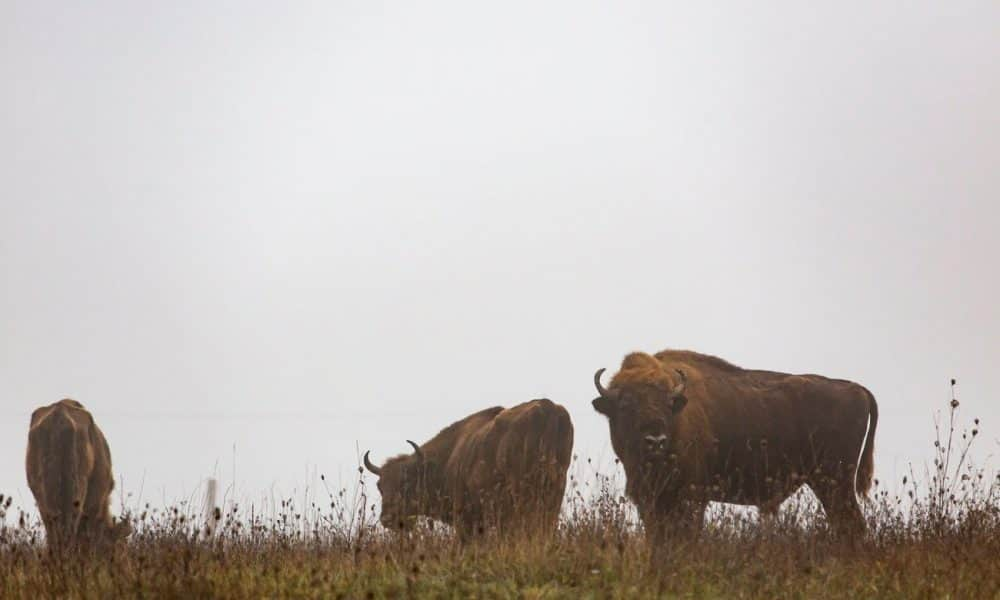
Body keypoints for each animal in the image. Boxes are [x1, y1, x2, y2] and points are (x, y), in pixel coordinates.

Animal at [588, 346, 880, 548]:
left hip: (835, 483)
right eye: (626, 404)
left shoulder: (692, 498)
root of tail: (858, 389)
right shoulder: (650, 500)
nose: (655, 441)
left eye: (668, 403)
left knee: (852, 525)